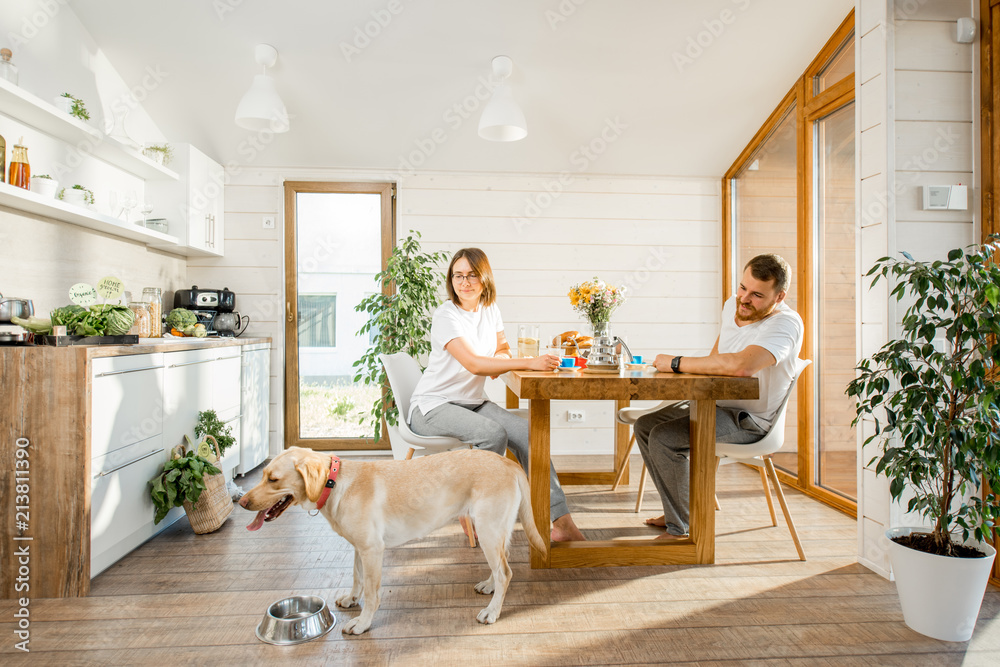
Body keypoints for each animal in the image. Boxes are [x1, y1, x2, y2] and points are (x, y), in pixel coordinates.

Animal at [239, 446, 548, 636]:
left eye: (273, 479)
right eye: (263, 475)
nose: (242, 503)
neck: (334, 483)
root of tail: (507, 462)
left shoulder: (373, 550)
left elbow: (372, 593)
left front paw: (362, 623)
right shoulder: (359, 548)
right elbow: (357, 578)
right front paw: (352, 599)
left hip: (487, 528)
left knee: (506, 572)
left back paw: (492, 611)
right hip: (492, 531)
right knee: (501, 566)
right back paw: (489, 586)